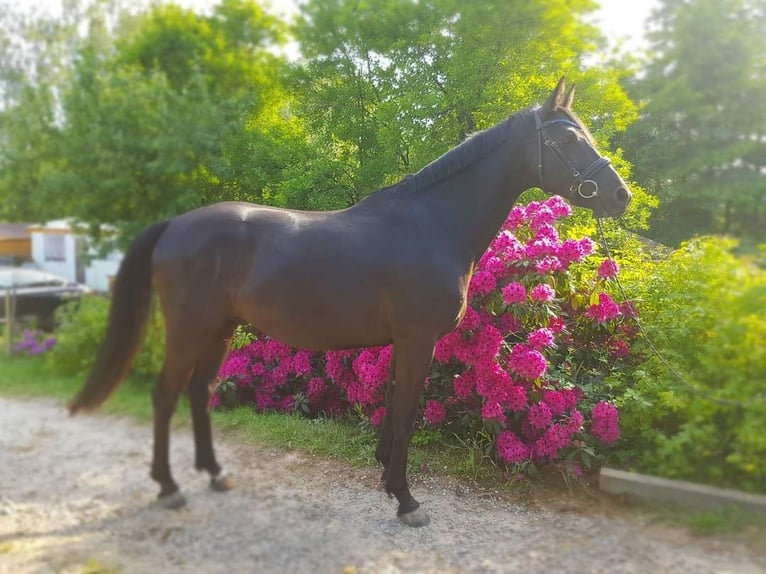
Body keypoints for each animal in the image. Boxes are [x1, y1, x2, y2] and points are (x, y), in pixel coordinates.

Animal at [69, 79, 632, 528]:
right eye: (566, 137)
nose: (620, 196)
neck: (430, 225)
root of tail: (175, 226)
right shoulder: (418, 339)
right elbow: (406, 412)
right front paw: (406, 500)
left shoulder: (404, 342)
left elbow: (392, 404)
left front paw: (386, 475)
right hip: (190, 328)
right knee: (165, 396)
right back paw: (169, 488)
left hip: (220, 328)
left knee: (198, 393)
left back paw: (214, 474)